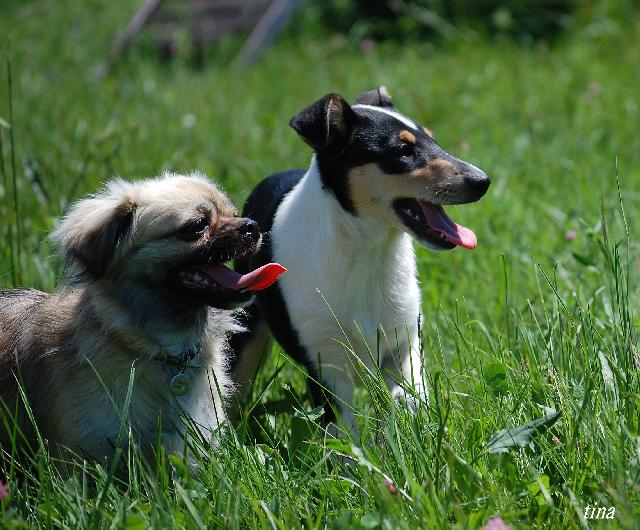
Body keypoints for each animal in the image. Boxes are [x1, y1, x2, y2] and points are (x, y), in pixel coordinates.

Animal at [231, 87, 490, 429]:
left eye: (433, 139)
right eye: (402, 150)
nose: (483, 181)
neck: (368, 252)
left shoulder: (404, 340)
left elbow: (410, 393)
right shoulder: (326, 365)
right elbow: (343, 436)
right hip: (246, 333)